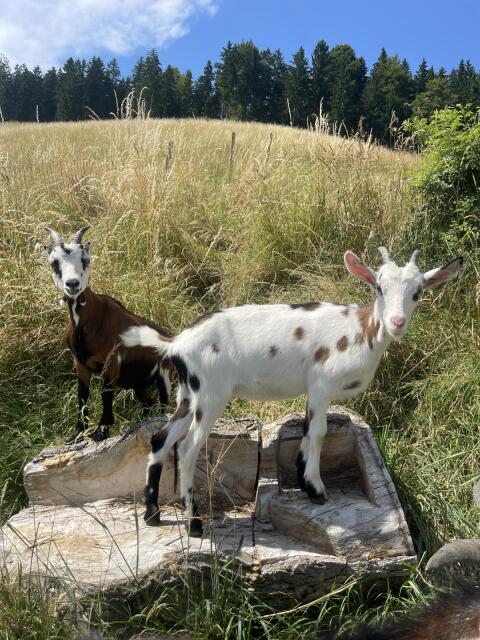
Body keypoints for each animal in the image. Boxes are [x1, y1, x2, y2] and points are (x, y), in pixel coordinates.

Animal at [45, 226, 173, 441]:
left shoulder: (112, 361)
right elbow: (82, 394)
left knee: (164, 403)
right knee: (148, 402)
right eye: (54, 262)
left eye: (85, 259)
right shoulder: (79, 362)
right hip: (138, 383)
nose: (72, 284)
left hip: (163, 377)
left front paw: (101, 430)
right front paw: (77, 432)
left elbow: (105, 393)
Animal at [121, 246, 462, 534]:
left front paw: (304, 481)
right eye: (379, 288)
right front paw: (317, 488)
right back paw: (193, 523)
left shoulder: (313, 389)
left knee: (161, 438)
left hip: (189, 394)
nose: (397, 322)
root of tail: (177, 343)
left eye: (418, 292)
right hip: (211, 394)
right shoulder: (323, 382)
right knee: (188, 448)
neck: (360, 331)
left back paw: (152, 515)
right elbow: (320, 431)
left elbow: (307, 428)